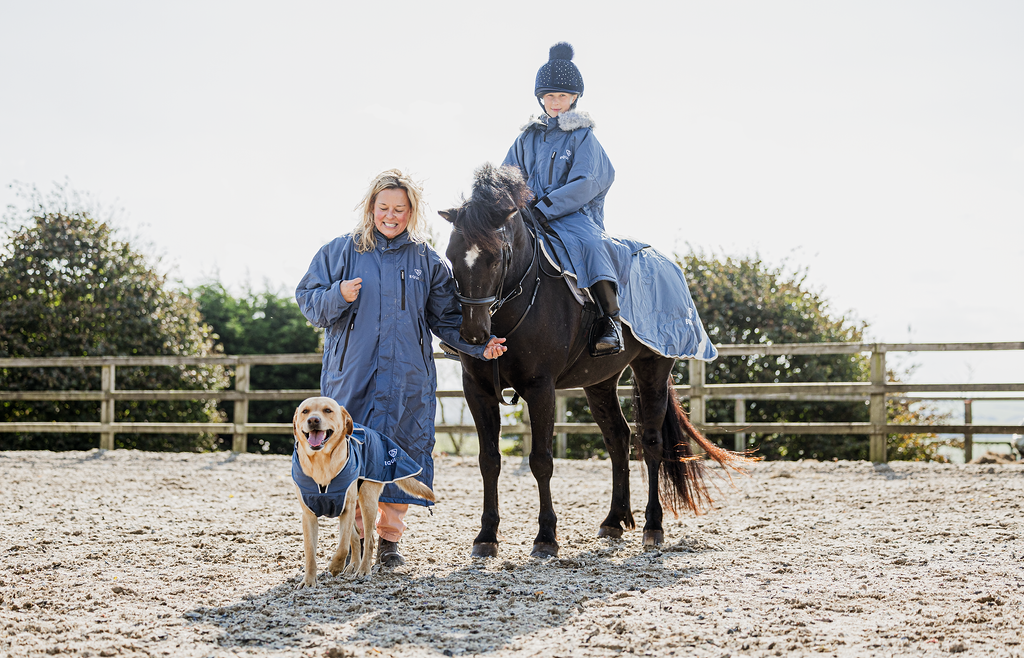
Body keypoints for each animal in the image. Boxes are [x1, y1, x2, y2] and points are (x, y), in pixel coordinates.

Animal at [290, 397, 434, 585]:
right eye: (305, 411)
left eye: (328, 410)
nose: (313, 420)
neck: (321, 461)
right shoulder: (309, 514)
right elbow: (310, 552)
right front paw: (308, 581)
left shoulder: (347, 508)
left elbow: (343, 546)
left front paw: (335, 566)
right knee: (357, 536)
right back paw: (353, 565)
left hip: (367, 500)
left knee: (369, 539)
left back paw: (363, 569)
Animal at [438, 163, 745, 556]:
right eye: (451, 255)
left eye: (496, 257)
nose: (474, 333)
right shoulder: (477, 389)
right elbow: (489, 460)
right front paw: (486, 536)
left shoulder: (540, 389)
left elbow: (541, 460)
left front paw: (546, 537)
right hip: (599, 383)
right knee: (617, 439)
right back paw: (614, 520)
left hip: (652, 371)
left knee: (650, 443)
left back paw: (652, 526)